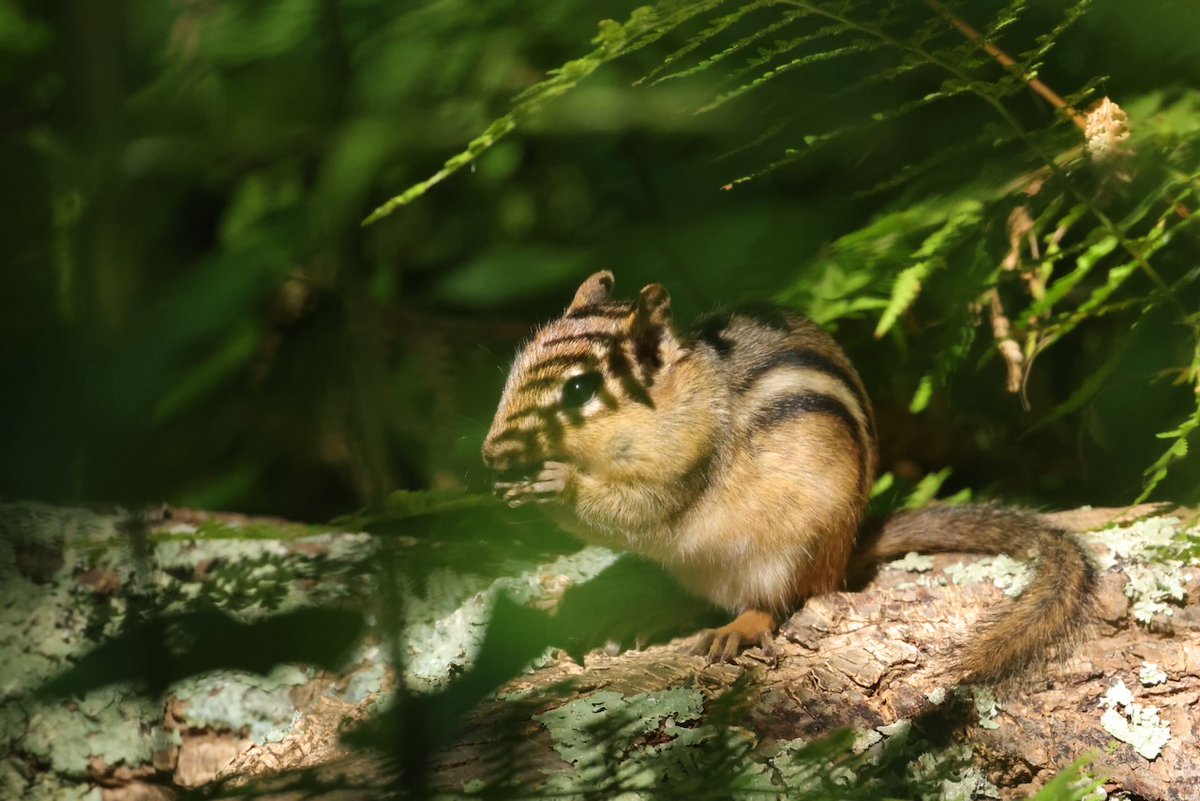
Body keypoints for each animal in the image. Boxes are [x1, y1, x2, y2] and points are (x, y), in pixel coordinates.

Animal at [481, 271, 1097, 684]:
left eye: (580, 390)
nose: (489, 454)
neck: (682, 400)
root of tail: (846, 548)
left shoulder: (686, 462)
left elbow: (638, 509)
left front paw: (555, 483)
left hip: (792, 549)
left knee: (778, 600)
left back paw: (740, 625)